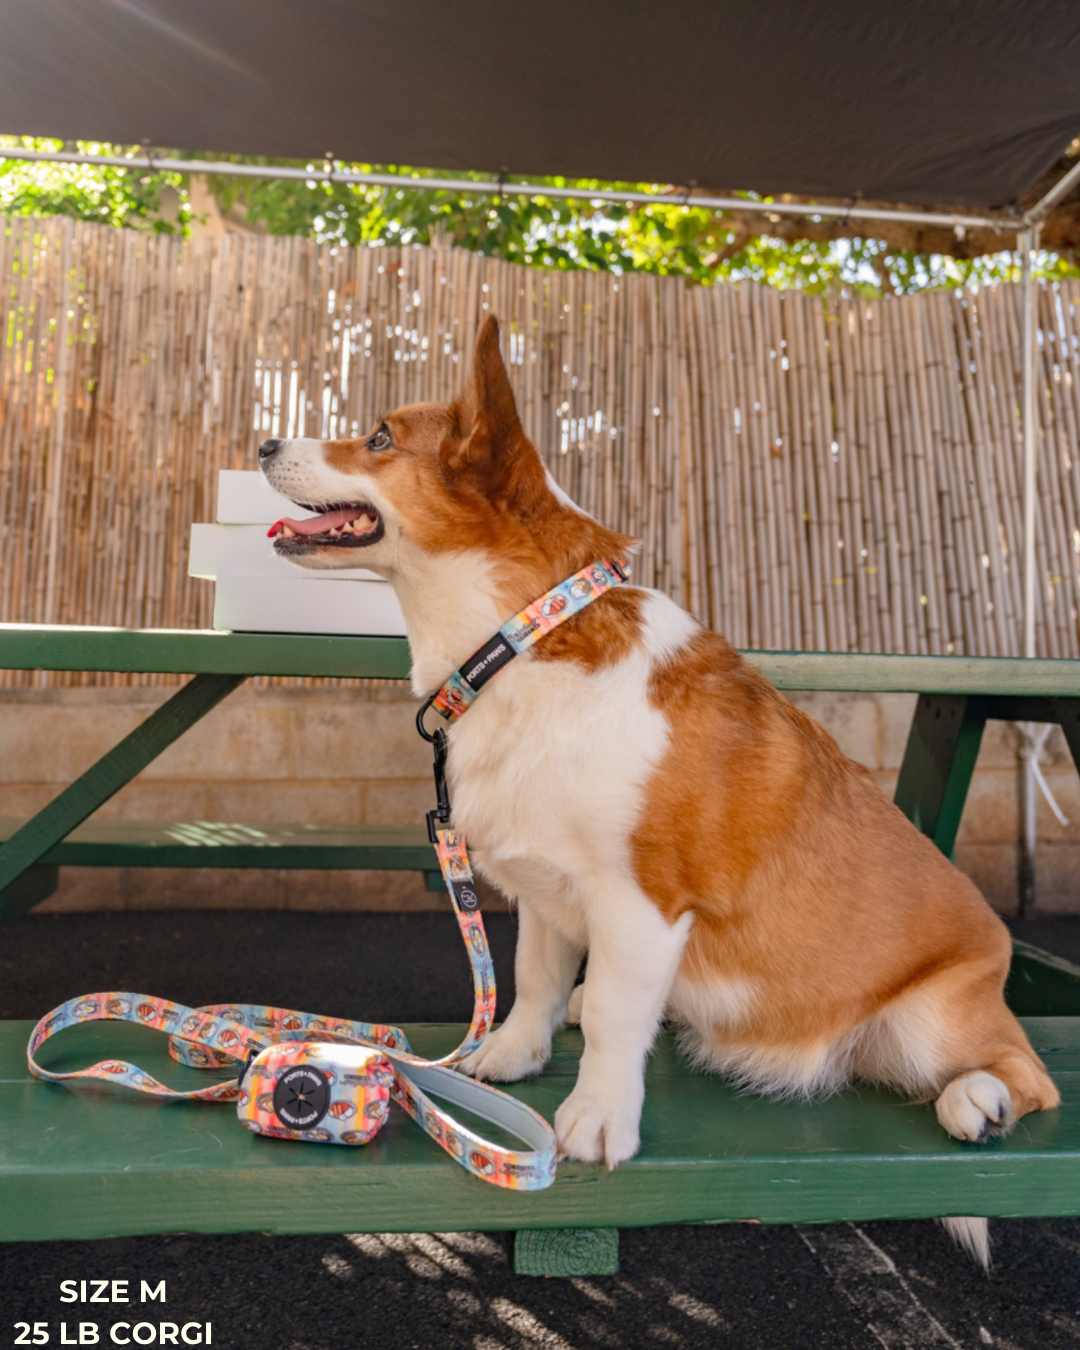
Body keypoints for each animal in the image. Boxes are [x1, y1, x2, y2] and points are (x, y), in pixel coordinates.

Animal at [259, 315, 1053, 1263]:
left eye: (379, 438)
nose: (263, 441)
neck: (517, 639)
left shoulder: (639, 905)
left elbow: (611, 1017)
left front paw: (597, 1120)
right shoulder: (547, 892)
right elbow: (532, 979)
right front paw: (512, 1056)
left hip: (937, 1022)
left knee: (1029, 1076)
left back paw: (980, 1100)